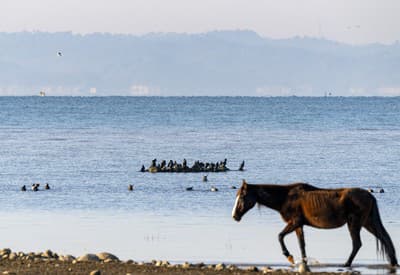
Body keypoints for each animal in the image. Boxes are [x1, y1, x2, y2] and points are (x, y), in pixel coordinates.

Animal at [231, 180, 396, 268]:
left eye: (242, 196)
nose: (235, 216)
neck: (286, 198)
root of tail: (370, 196)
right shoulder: (299, 225)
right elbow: (301, 245)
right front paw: (303, 262)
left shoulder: (294, 222)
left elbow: (280, 236)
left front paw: (289, 256)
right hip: (368, 223)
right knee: (385, 238)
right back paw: (393, 262)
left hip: (354, 223)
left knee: (357, 243)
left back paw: (346, 264)